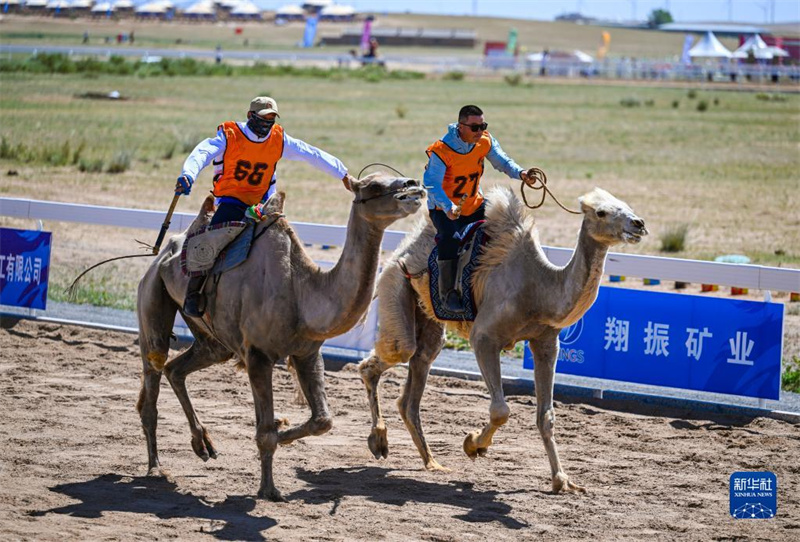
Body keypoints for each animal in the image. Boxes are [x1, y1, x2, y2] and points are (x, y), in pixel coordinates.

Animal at [136, 173, 424, 502]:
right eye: (374, 186)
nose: (414, 186)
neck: (301, 293)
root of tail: (162, 253)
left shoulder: (307, 352)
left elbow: (322, 420)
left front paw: (283, 430)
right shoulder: (258, 355)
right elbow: (265, 434)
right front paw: (269, 489)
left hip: (212, 339)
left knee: (177, 368)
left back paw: (203, 444)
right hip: (153, 293)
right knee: (155, 368)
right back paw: (156, 467)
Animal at [360, 186, 648, 492]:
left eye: (626, 205)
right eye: (601, 212)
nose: (638, 224)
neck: (539, 288)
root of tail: (402, 251)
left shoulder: (546, 343)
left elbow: (546, 416)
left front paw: (562, 481)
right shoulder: (484, 337)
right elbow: (501, 410)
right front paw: (473, 444)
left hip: (427, 316)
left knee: (415, 377)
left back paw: (432, 462)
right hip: (395, 284)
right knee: (388, 356)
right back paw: (379, 440)